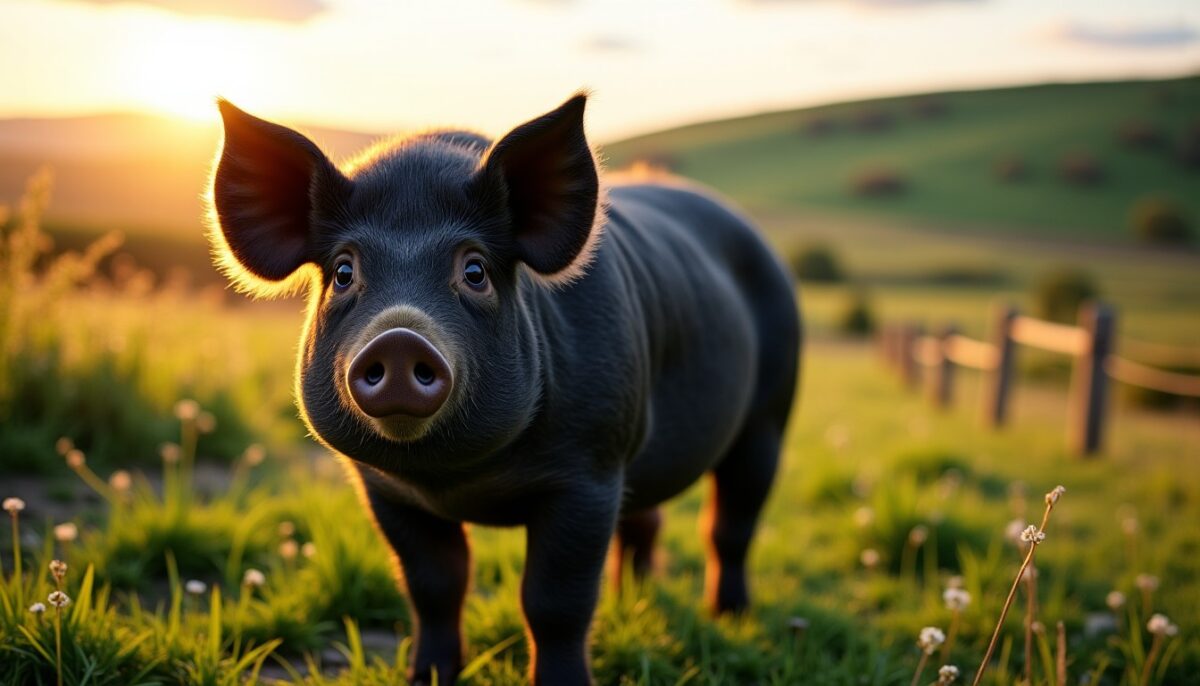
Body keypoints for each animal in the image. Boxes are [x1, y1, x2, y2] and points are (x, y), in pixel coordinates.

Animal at [207, 93, 801, 685]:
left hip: (769, 414)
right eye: (343, 272)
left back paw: (730, 616)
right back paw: (636, 597)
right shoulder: (384, 488)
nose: (398, 337)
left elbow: (554, 602)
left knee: (730, 522)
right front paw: (428, 676)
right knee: (647, 520)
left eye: (475, 271)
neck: (455, 478)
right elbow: (434, 585)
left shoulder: (590, 471)